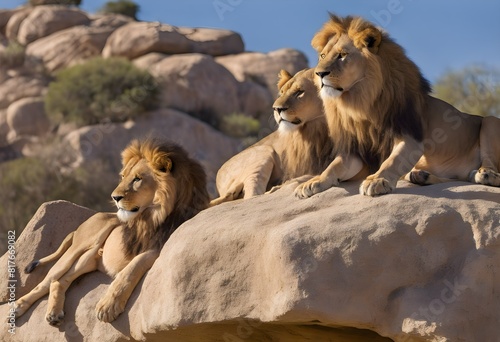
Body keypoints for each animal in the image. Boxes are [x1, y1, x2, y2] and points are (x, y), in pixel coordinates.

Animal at [14, 138, 209, 324]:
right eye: (123, 176)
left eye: (137, 179)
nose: (114, 197)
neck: (157, 213)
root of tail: (78, 228)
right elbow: (131, 267)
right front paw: (108, 307)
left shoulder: (160, 243)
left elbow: (133, 266)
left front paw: (108, 305)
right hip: (78, 249)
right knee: (47, 281)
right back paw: (18, 307)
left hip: (89, 259)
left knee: (59, 281)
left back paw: (54, 314)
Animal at [211, 68, 368, 204]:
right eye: (281, 93)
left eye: (299, 92)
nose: (276, 109)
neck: (318, 127)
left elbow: (335, 165)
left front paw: (313, 182)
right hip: (263, 152)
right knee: (252, 195)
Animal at [294, 13, 500, 198]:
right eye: (322, 56)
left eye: (342, 55)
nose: (319, 74)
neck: (360, 103)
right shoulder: (355, 149)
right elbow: (333, 167)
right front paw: (312, 182)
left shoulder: (410, 135)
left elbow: (392, 161)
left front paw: (377, 180)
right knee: (457, 178)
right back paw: (422, 176)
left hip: (490, 122)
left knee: (492, 168)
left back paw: (486, 174)